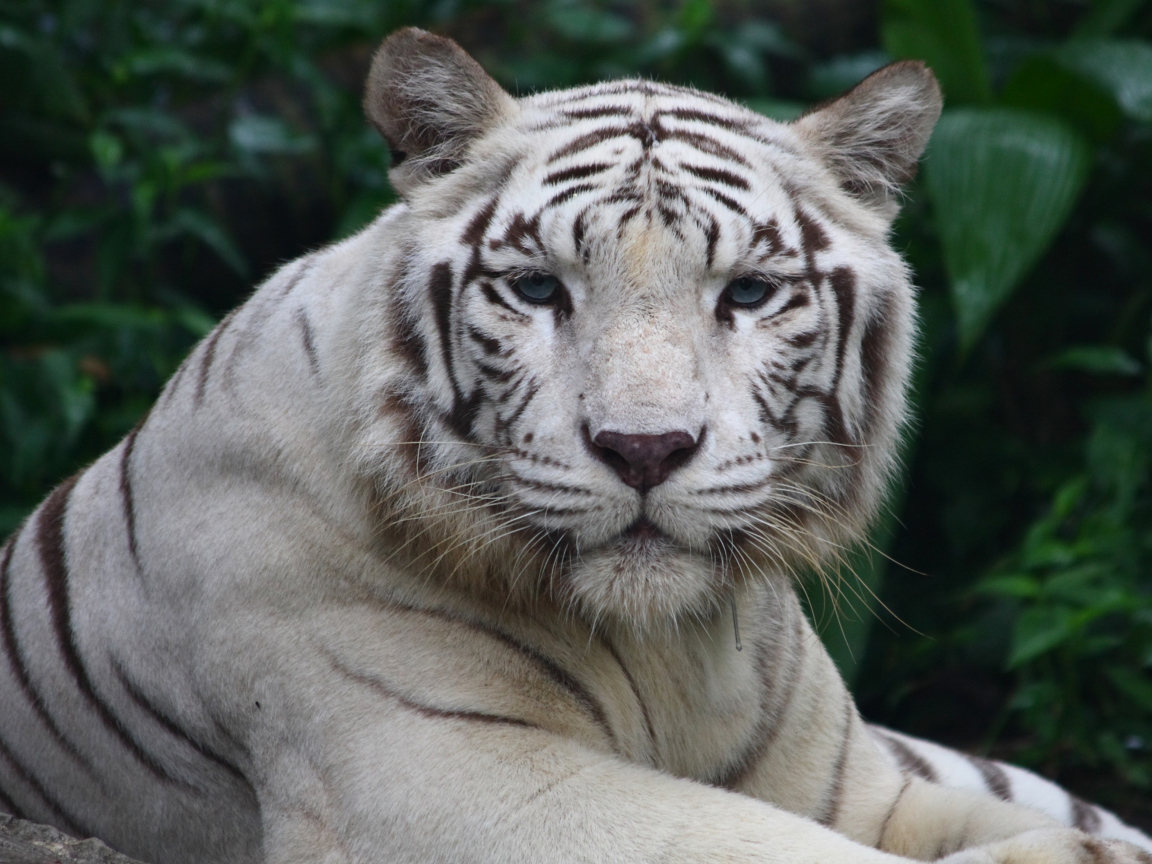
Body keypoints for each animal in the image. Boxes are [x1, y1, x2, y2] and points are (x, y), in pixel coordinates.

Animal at [0, 26, 1149, 864]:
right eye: (538, 288)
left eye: (748, 293)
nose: (644, 449)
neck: (677, 648)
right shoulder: (441, 778)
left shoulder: (857, 786)